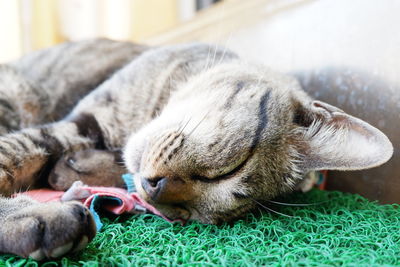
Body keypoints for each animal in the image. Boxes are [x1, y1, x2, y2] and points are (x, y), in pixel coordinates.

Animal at [0, 38, 392, 260]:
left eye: (184, 216)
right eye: (231, 167)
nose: (154, 189)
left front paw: (75, 171)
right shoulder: (83, 120)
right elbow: (15, 151)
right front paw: (31, 213)